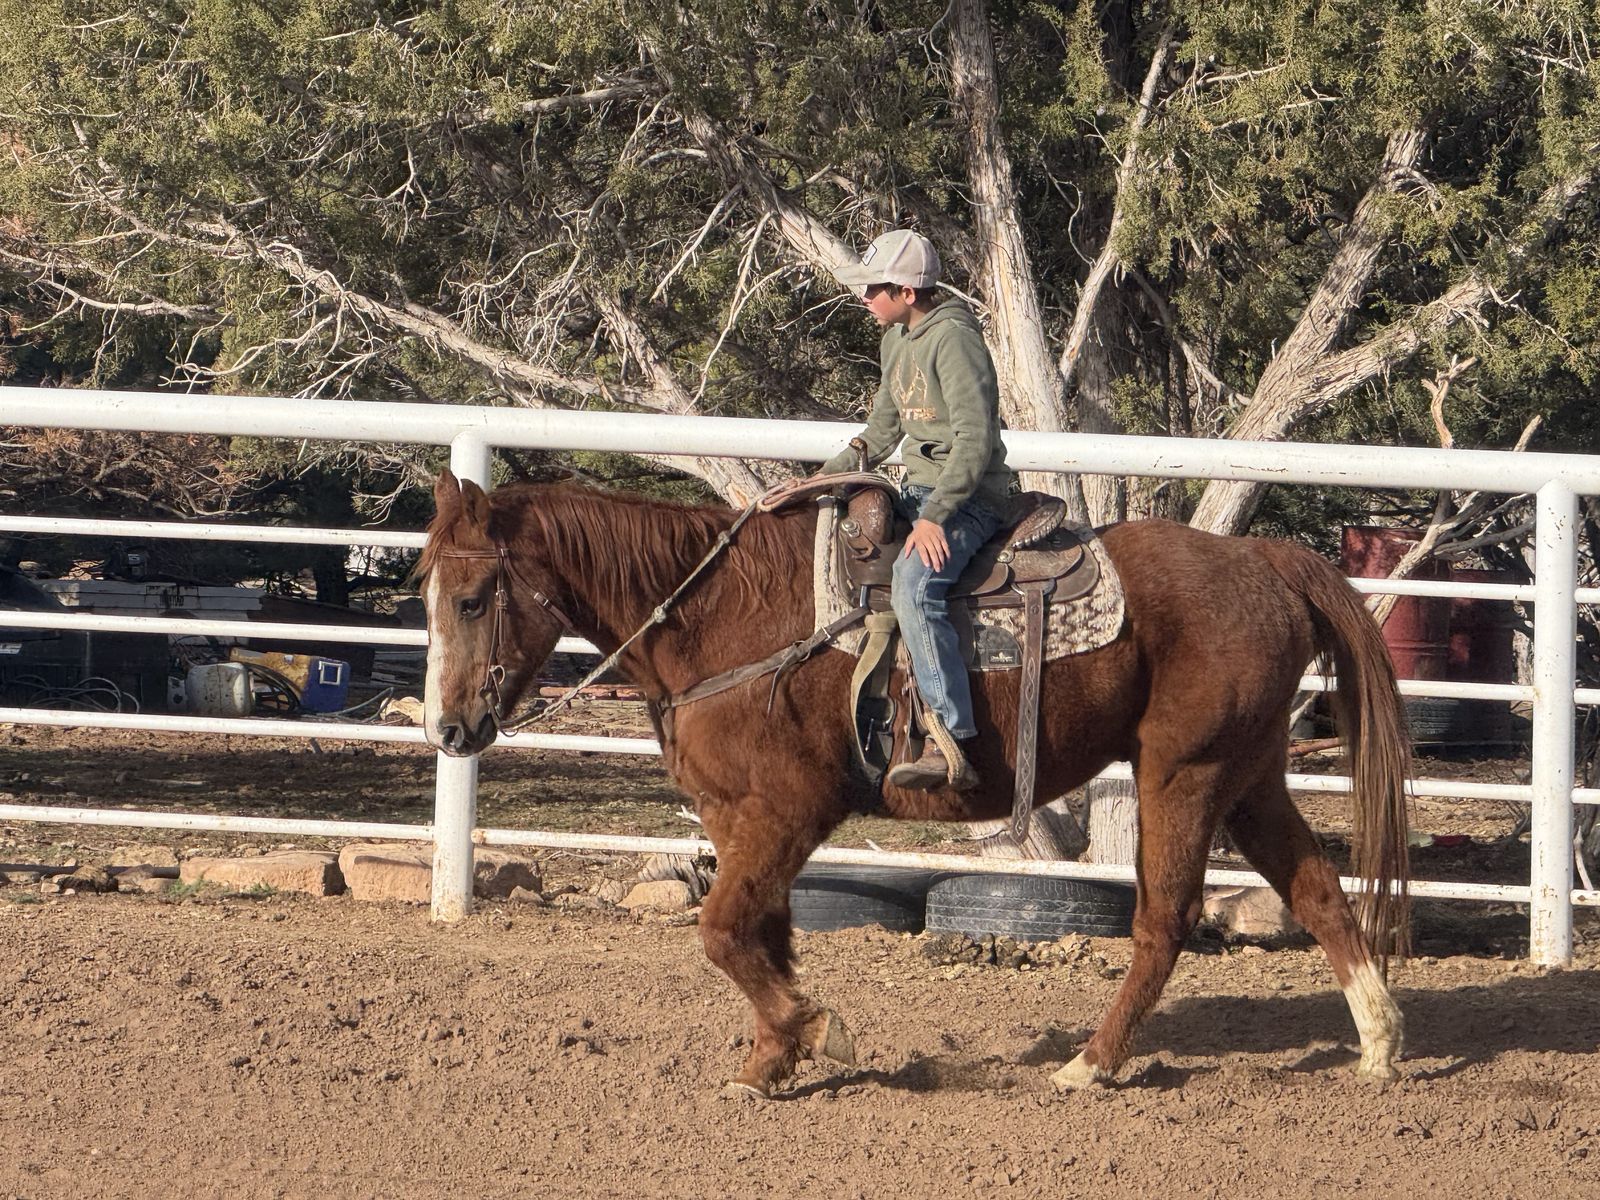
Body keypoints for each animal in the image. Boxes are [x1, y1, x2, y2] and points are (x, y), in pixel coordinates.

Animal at [419, 469, 1411, 1099]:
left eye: (470, 599)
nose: (450, 729)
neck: (718, 618)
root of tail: (1263, 561)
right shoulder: (738, 817)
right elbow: (757, 934)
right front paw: (770, 1062)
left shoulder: (788, 811)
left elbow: (723, 931)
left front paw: (814, 1032)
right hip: (1250, 776)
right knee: (1320, 893)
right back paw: (1379, 1045)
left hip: (1185, 773)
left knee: (1165, 920)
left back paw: (1091, 1063)